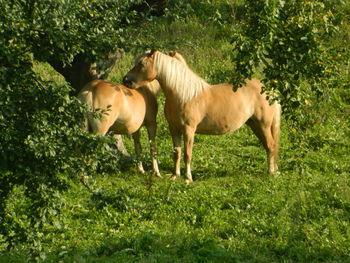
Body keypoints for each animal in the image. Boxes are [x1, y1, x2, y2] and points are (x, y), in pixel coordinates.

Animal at [123, 50, 282, 185]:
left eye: (141, 64)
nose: (126, 80)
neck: (183, 95)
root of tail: (268, 88)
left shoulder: (189, 130)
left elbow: (187, 154)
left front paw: (188, 178)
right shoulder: (174, 128)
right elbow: (177, 152)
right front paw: (174, 176)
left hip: (263, 124)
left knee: (271, 145)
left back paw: (271, 173)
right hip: (255, 124)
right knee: (268, 146)